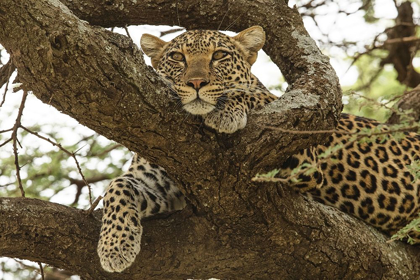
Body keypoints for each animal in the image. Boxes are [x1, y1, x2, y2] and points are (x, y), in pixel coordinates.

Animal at [97, 25, 420, 272]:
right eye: (177, 57)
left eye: (220, 56)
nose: (197, 82)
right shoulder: (158, 182)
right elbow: (117, 187)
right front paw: (114, 247)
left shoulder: (302, 155)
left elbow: (253, 95)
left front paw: (226, 109)